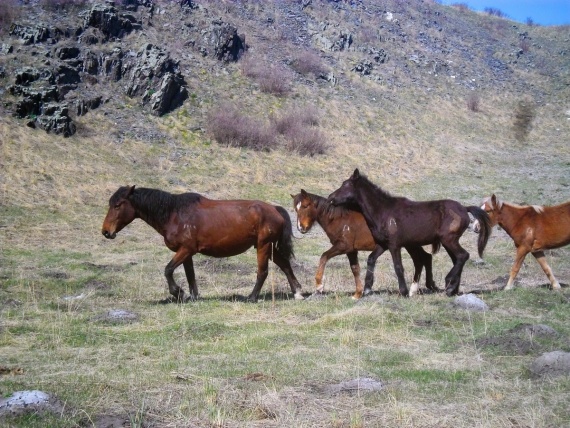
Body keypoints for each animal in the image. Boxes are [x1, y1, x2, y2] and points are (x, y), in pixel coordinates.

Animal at [102, 186, 306, 302]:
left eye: (118, 205)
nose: (106, 231)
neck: (175, 214)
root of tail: (274, 209)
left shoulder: (186, 250)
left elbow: (168, 270)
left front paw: (178, 293)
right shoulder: (186, 253)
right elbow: (190, 275)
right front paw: (193, 296)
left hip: (264, 246)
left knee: (262, 272)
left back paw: (252, 297)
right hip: (268, 247)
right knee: (285, 265)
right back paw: (297, 292)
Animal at [290, 191, 438, 298]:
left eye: (305, 206)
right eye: (296, 209)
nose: (301, 228)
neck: (340, 219)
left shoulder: (343, 247)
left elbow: (324, 256)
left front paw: (319, 285)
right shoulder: (351, 251)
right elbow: (355, 269)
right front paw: (357, 293)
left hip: (410, 245)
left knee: (421, 260)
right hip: (411, 245)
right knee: (425, 258)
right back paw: (427, 286)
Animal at [326, 169, 490, 296]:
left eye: (346, 185)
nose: (330, 198)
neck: (383, 211)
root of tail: (464, 208)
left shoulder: (394, 245)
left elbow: (398, 267)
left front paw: (403, 291)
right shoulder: (383, 244)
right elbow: (371, 259)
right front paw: (367, 289)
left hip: (449, 240)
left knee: (463, 256)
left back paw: (448, 284)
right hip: (448, 242)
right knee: (457, 259)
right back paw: (452, 289)